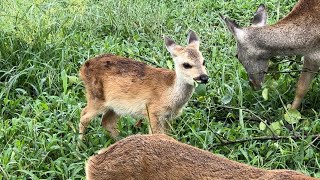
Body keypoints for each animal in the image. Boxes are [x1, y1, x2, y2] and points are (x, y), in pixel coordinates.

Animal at [77, 31, 208, 140]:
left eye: (204, 61)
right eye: (186, 64)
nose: (204, 77)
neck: (169, 93)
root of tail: (83, 68)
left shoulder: (167, 117)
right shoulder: (153, 112)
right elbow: (157, 135)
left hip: (115, 105)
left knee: (106, 122)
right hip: (96, 97)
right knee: (84, 116)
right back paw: (80, 144)